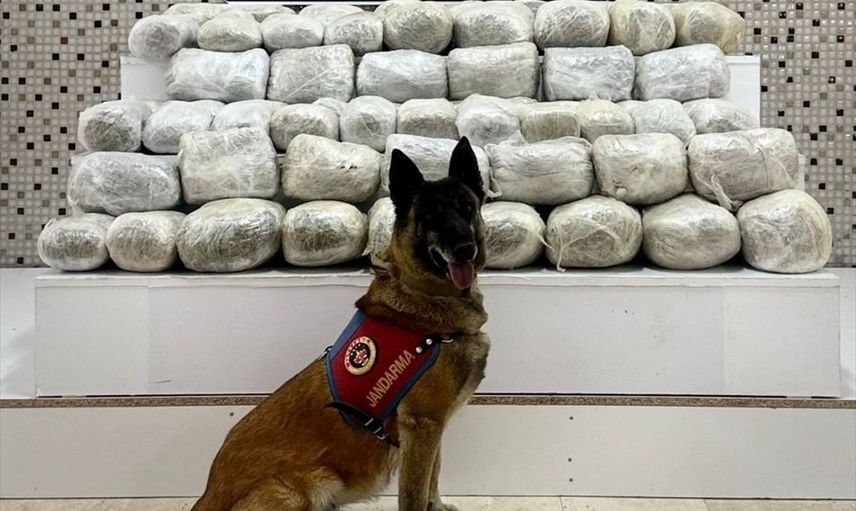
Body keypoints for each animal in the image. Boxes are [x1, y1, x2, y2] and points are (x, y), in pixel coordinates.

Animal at [192, 137, 490, 511]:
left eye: (465, 208)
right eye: (431, 216)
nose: (464, 249)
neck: (426, 299)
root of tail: (208, 493)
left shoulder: (432, 429)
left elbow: (433, 479)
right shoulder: (422, 426)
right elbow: (414, 493)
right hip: (306, 486)